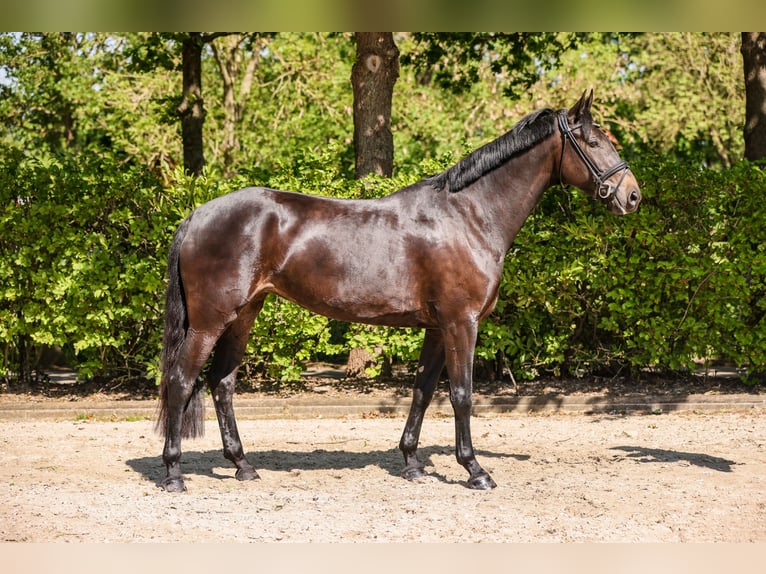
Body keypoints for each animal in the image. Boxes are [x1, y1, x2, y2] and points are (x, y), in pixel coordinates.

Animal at [156, 92, 640, 492]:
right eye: (593, 142)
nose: (632, 196)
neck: (469, 215)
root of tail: (197, 214)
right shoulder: (461, 323)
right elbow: (461, 395)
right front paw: (475, 470)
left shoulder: (437, 327)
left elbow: (423, 391)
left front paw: (412, 464)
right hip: (210, 320)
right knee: (181, 381)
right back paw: (174, 473)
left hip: (244, 314)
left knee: (221, 383)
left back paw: (243, 466)